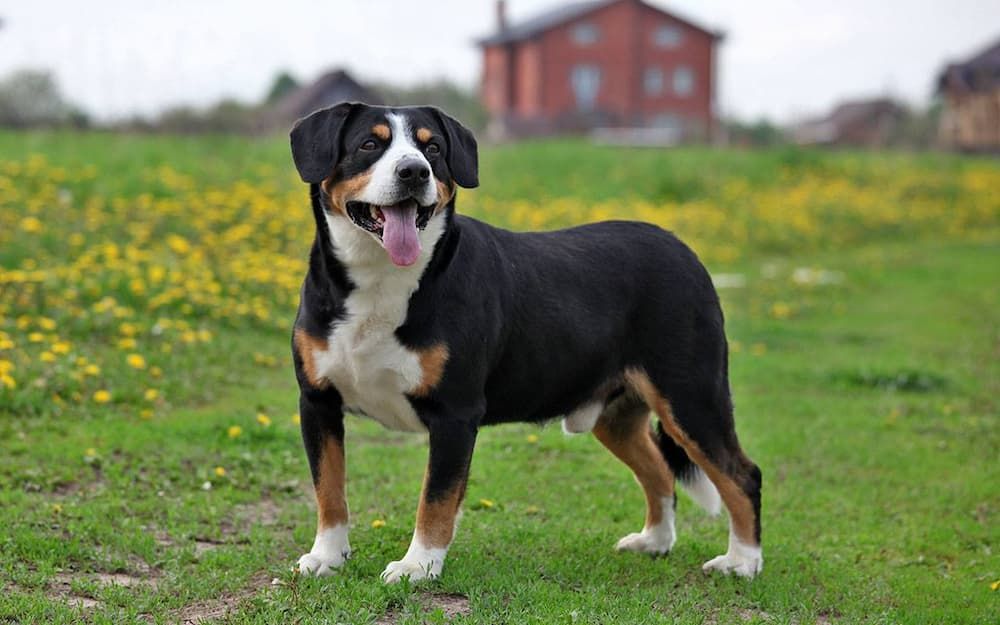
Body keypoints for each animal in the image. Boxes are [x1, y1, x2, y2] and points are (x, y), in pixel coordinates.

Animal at [290, 100, 764, 584]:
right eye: (370, 144)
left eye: (433, 148)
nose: (414, 172)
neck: (381, 278)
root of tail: (683, 249)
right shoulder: (318, 401)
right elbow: (329, 490)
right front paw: (327, 556)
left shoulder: (455, 414)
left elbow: (435, 501)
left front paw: (418, 565)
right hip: (615, 415)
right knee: (660, 471)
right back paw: (654, 541)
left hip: (690, 396)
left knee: (743, 475)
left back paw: (742, 561)